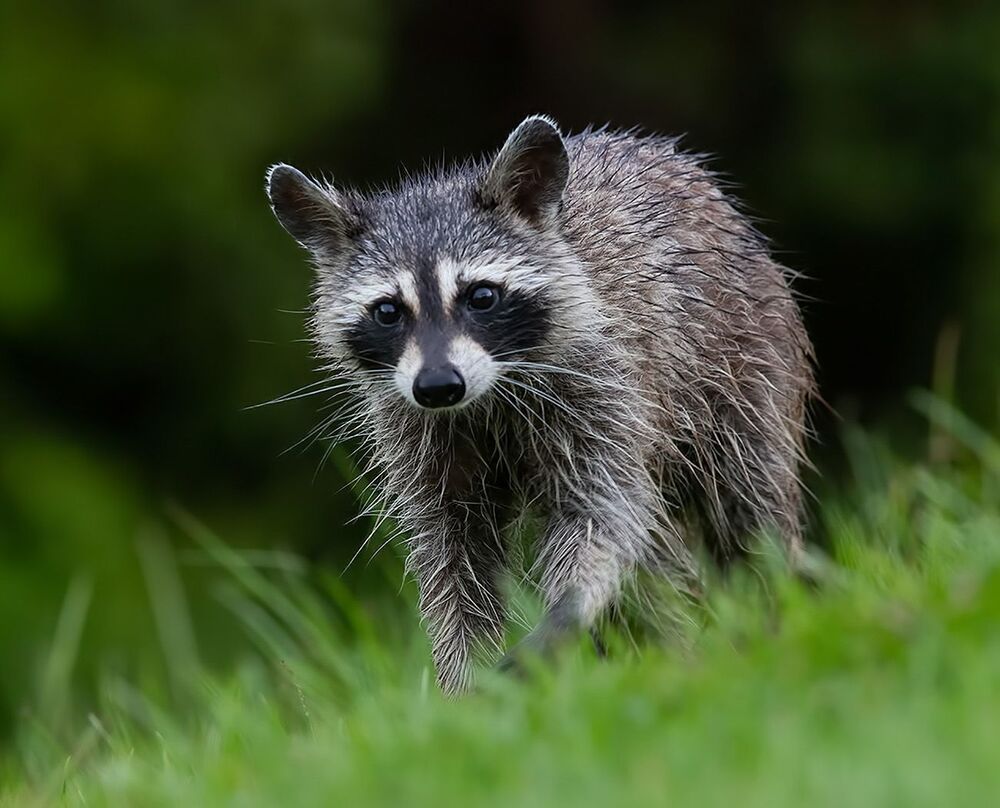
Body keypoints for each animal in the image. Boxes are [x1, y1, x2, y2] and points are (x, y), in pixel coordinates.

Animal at [265, 115, 814, 693]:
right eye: (388, 311)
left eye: (481, 296)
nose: (438, 386)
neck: (485, 398)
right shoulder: (417, 432)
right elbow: (453, 560)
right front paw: (461, 683)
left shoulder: (603, 387)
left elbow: (603, 514)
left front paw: (569, 608)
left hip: (747, 362)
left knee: (747, 502)